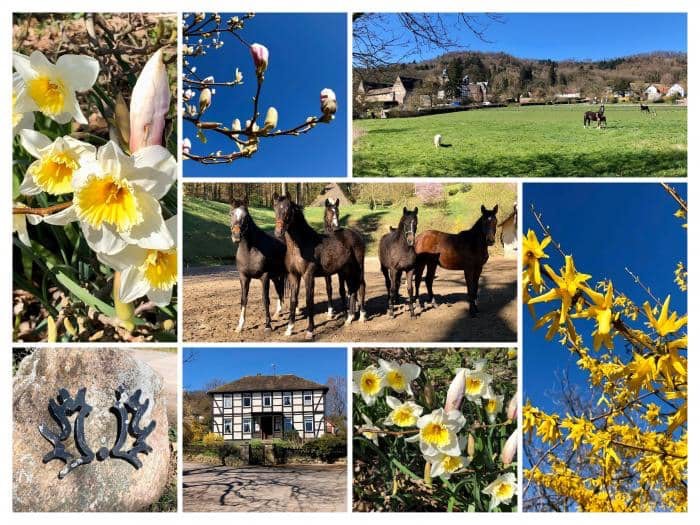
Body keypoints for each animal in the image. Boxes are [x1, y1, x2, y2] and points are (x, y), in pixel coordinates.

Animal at [230, 199, 284, 334]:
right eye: (231, 214)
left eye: (246, 217)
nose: (236, 236)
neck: (250, 251)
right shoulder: (244, 277)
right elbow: (243, 299)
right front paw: (240, 326)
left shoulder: (264, 277)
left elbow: (265, 300)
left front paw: (268, 326)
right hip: (276, 276)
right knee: (280, 290)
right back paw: (277, 313)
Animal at [272, 193, 364, 340]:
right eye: (275, 209)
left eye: (288, 210)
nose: (278, 232)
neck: (301, 245)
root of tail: (357, 235)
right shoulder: (294, 276)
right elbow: (293, 300)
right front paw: (289, 329)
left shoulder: (308, 276)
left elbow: (309, 301)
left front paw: (310, 330)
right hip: (347, 270)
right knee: (352, 289)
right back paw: (349, 319)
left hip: (358, 268)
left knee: (360, 286)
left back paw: (362, 316)